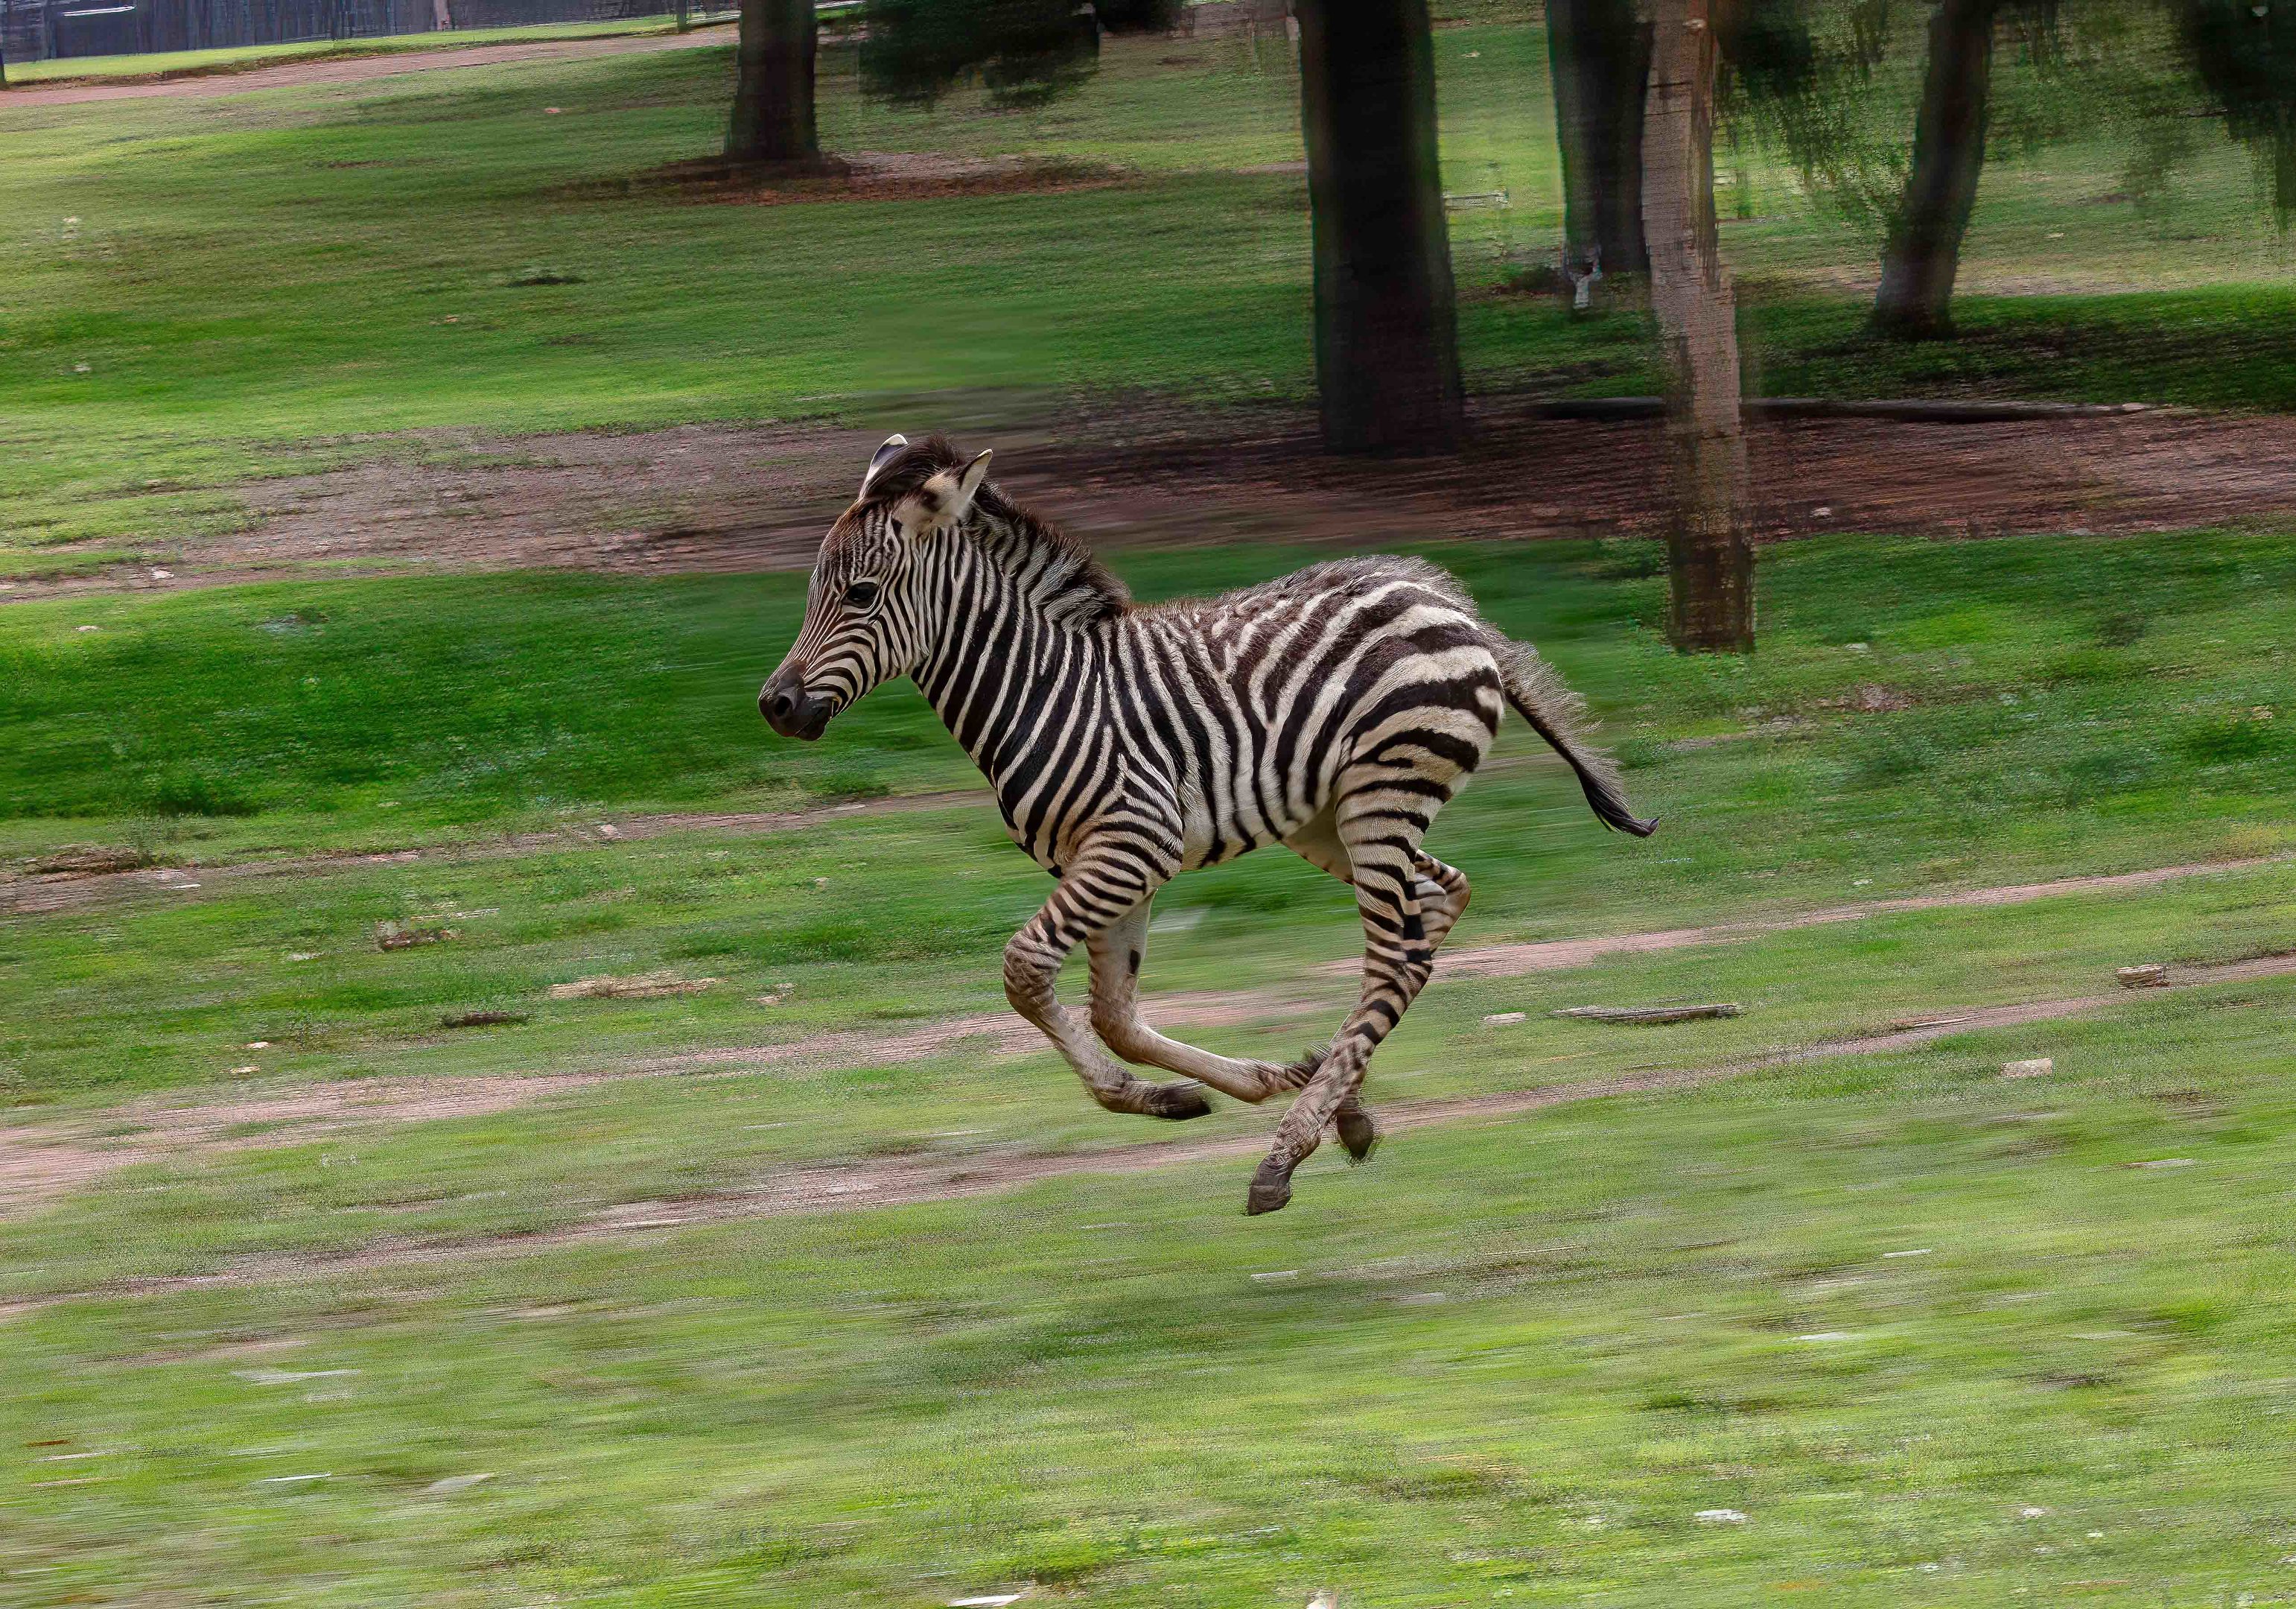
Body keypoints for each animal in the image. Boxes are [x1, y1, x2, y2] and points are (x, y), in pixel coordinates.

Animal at [761, 434, 1655, 1215]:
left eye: (860, 594)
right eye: (810, 592)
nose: (775, 706)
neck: (1041, 688)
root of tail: (1441, 597)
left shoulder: (1132, 846)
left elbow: (1026, 972)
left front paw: (1148, 1095)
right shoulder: (1103, 864)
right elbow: (1116, 1018)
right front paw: (1210, 1090)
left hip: (1381, 794)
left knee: (1396, 957)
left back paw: (1287, 1153)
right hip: (1330, 818)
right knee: (1440, 900)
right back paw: (1340, 1100)